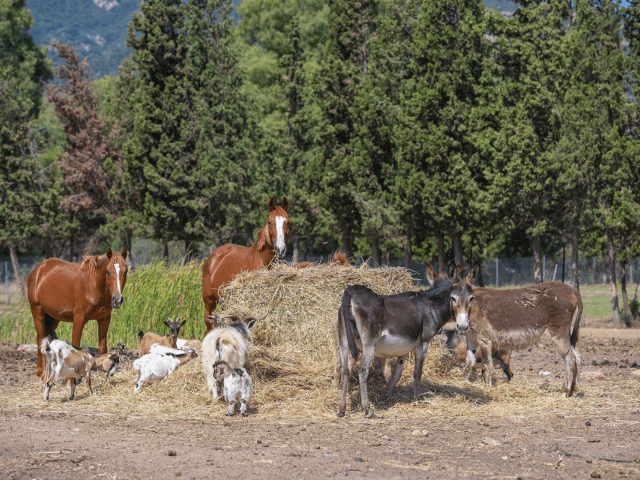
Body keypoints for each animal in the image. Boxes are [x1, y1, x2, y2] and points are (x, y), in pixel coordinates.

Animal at [28, 247, 129, 381]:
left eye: (125, 271)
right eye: (107, 271)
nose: (117, 300)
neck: (93, 285)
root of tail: (37, 270)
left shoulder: (104, 318)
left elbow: (102, 347)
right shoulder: (79, 319)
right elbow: (74, 346)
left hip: (53, 318)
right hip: (38, 313)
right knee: (40, 339)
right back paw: (42, 373)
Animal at [337, 261, 480, 417]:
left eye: (471, 298)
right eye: (453, 298)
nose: (462, 327)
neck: (430, 307)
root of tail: (351, 291)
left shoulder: (403, 349)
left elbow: (396, 374)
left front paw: (389, 395)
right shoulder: (423, 343)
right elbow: (417, 373)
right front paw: (416, 399)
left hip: (344, 342)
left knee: (345, 370)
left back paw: (342, 409)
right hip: (369, 345)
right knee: (362, 369)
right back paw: (367, 409)